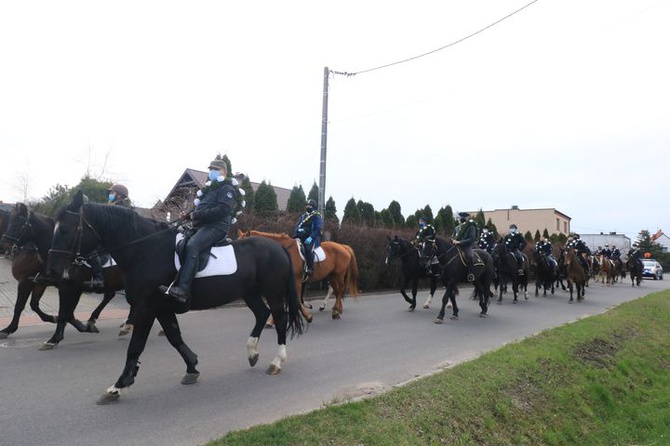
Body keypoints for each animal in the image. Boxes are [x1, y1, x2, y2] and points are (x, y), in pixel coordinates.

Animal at [0, 202, 130, 344]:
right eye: (9, 222)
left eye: (18, 223)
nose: (5, 243)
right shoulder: (43, 283)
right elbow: (39, 305)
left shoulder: (30, 282)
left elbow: (21, 306)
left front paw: (8, 329)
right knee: (111, 296)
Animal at [47, 191, 308, 404]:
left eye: (67, 229)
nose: (52, 270)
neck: (146, 250)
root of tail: (278, 247)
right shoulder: (162, 308)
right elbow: (174, 337)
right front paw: (192, 367)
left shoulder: (146, 308)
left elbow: (136, 346)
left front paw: (119, 385)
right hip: (250, 293)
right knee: (262, 315)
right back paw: (252, 352)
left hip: (274, 293)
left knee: (280, 320)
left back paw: (276, 362)